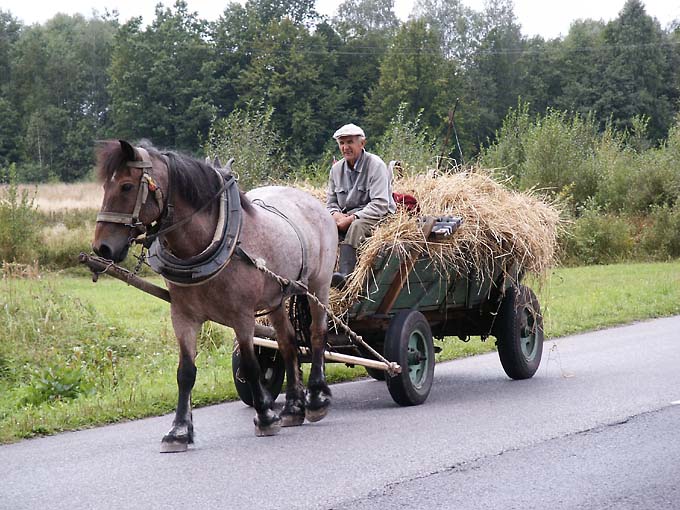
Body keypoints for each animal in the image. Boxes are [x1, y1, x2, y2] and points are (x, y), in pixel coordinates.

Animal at [94, 138, 338, 450]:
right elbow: (185, 372)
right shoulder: (183, 316)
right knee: (287, 342)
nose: (102, 247)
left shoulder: (242, 316)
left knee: (317, 333)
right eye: (105, 186)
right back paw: (294, 407)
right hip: (276, 298)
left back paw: (317, 398)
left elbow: (250, 365)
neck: (204, 243)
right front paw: (178, 431)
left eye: (126, 186)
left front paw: (264, 416)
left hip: (319, 284)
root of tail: (313, 201)